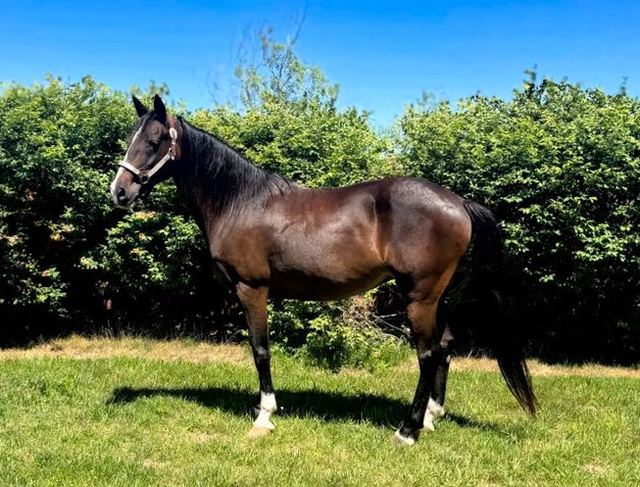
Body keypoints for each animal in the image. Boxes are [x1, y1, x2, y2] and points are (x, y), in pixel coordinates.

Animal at [109, 94, 537, 446]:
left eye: (153, 142)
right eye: (131, 138)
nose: (119, 192)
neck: (239, 201)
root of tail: (458, 202)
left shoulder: (252, 288)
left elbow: (260, 350)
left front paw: (264, 416)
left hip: (420, 296)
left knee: (428, 353)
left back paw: (408, 430)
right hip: (439, 296)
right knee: (445, 347)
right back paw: (431, 418)